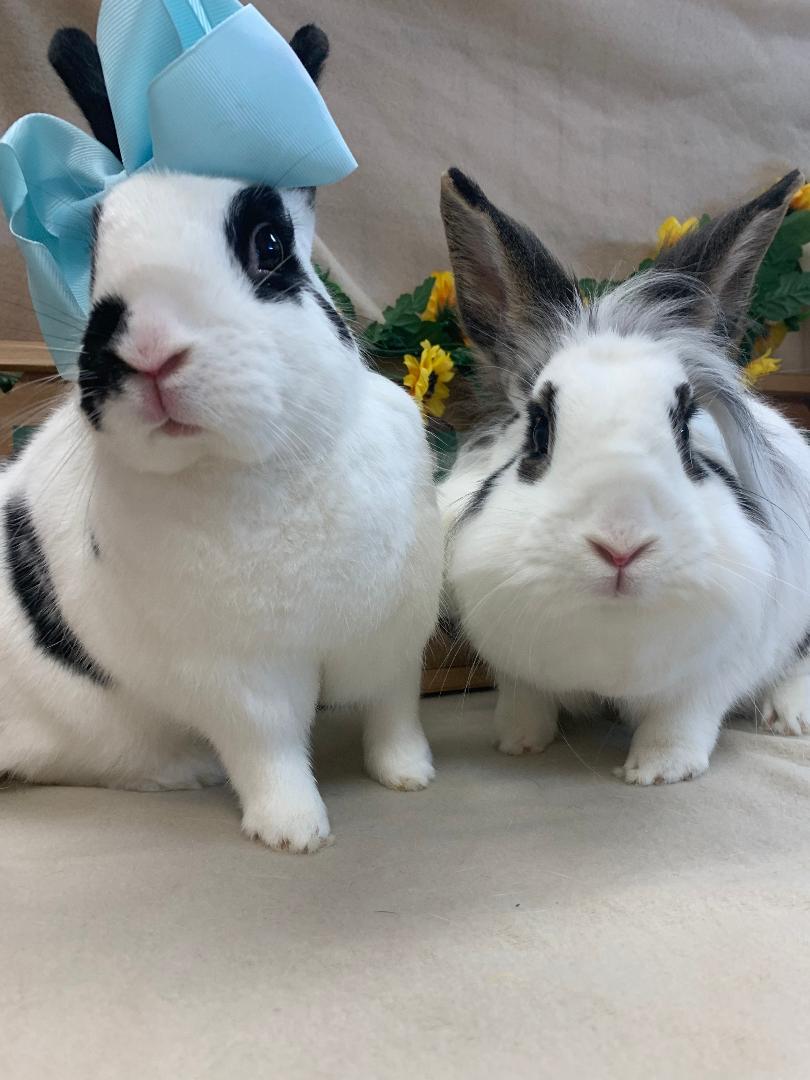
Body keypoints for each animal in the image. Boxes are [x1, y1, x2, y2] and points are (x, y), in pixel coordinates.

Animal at [0, 26, 441, 852]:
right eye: (94, 261)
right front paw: (294, 832)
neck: (267, 466)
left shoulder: (395, 639)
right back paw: (184, 771)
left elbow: (393, 716)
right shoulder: (237, 679)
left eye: (269, 244)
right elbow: (269, 753)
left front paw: (410, 777)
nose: (149, 349)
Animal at [437, 166, 810, 785]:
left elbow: (682, 720)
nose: (620, 545)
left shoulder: (712, 675)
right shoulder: (512, 660)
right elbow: (525, 698)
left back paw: (791, 716)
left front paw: (657, 771)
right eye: (538, 430)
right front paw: (518, 742)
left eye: (686, 429)